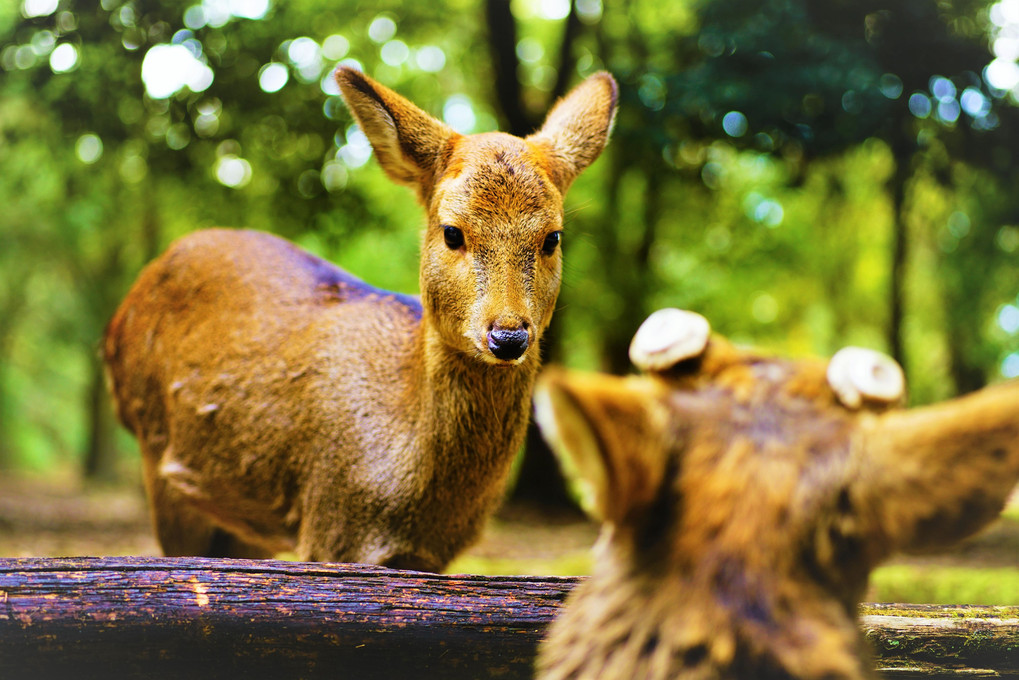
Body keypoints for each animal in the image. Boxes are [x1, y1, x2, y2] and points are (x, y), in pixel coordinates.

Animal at [103, 66, 615, 570]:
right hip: (158, 451)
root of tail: (120, 317)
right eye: (452, 232)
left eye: (552, 237)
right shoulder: (332, 525)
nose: (507, 336)